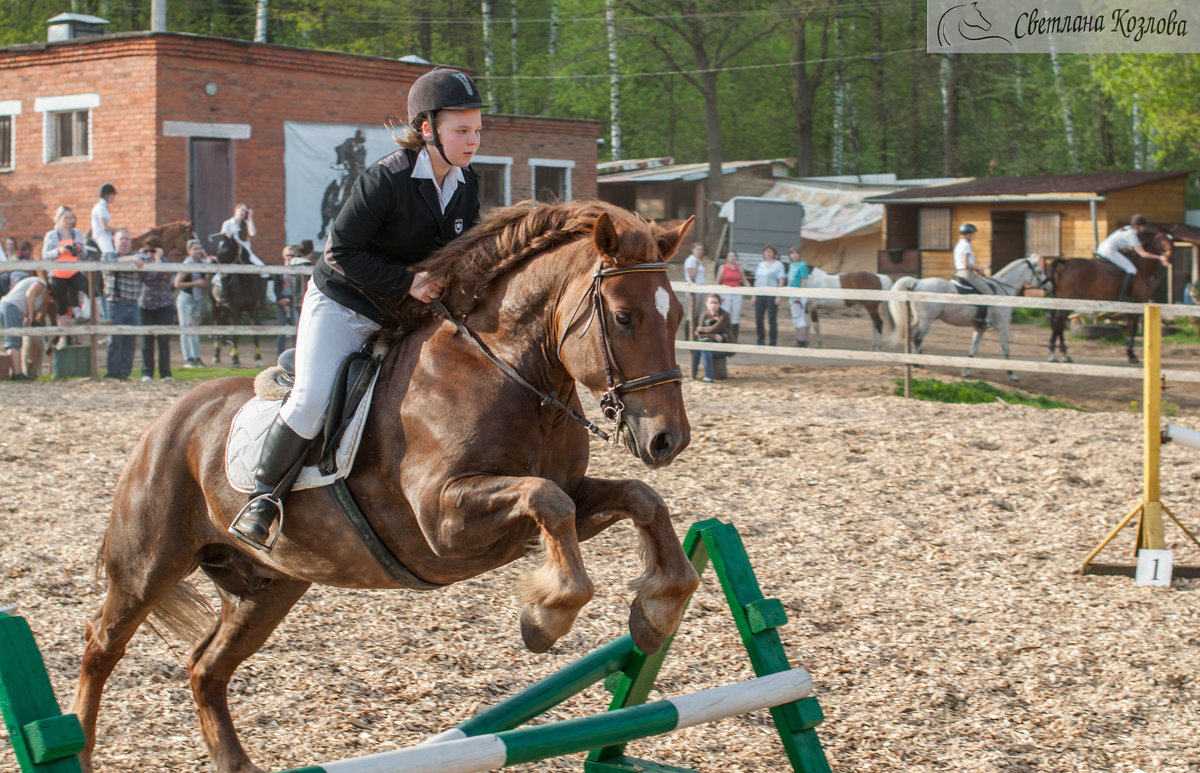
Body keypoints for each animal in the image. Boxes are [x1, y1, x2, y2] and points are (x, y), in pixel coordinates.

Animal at [211, 235, 267, 367]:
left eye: (226, 249)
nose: (213, 261)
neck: (245, 281)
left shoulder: (253, 310)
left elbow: (255, 334)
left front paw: (258, 358)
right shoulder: (235, 311)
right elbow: (235, 335)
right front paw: (235, 359)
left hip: (225, 310)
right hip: (216, 308)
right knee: (216, 327)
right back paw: (216, 355)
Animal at [888, 255, 1046, 381]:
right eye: (1039, 272)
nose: (1048, 285)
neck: (1002, 291)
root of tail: (917, 282)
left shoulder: (979, 328)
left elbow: (973, 349)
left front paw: (966, 371)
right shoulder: (1003, 326)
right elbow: (1006, 349)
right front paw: (1012, 374)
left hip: (918, 319)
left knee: (910, 333)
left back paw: (914, 357)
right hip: (926, 319)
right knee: (917, 337)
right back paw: (916, 363)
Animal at [1046, 229, 1176, 364]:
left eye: (1172, 240)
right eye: (1162, 240)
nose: (1170, 257)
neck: (1141, 267)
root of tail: (1065, 263)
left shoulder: (1129, 307)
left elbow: (1130, 328)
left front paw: (1130, 354)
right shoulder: (1136, 304)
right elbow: (1132, 329)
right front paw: (1132, 356)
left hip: (1060, 300)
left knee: (1057, 324)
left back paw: (1061, 353)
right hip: (1070, 300)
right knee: (1059, 323)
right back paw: (1058, 354)